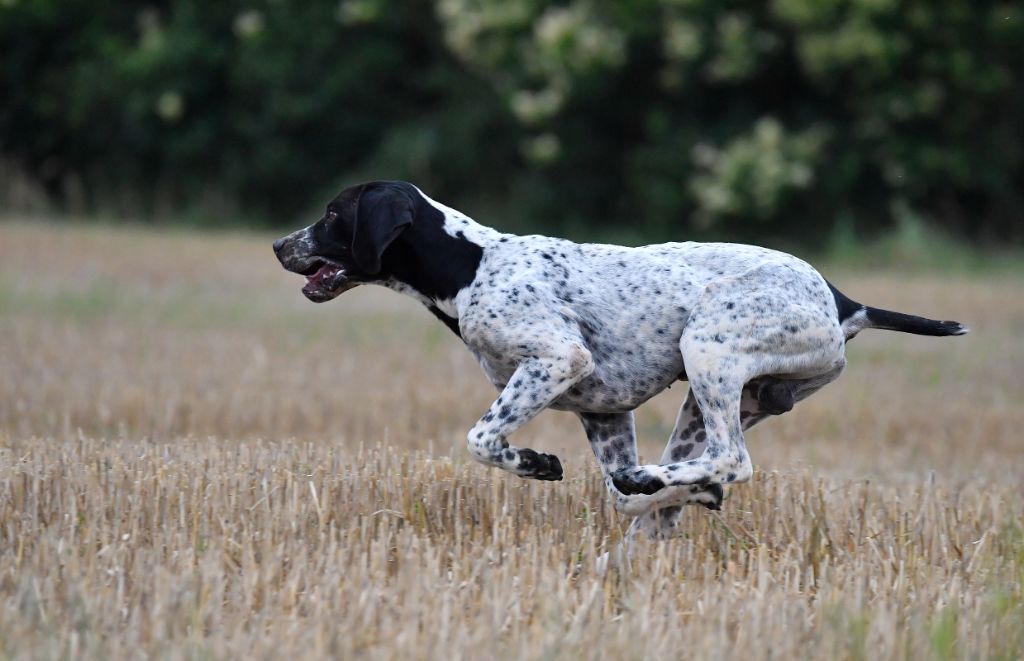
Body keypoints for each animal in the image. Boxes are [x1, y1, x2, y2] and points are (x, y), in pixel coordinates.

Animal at [274, 181, 966, 540]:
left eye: (333, 215)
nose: (280, 244)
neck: (470, 266)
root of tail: (841, 299)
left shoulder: (556, 360)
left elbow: (481, 439)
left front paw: (534, 463)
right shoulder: (604, 412)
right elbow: (613, 489)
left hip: (708, 346)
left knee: (732, 460)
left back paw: (662, 481)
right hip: (723, 395)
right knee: (687, 472)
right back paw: (670, 489)